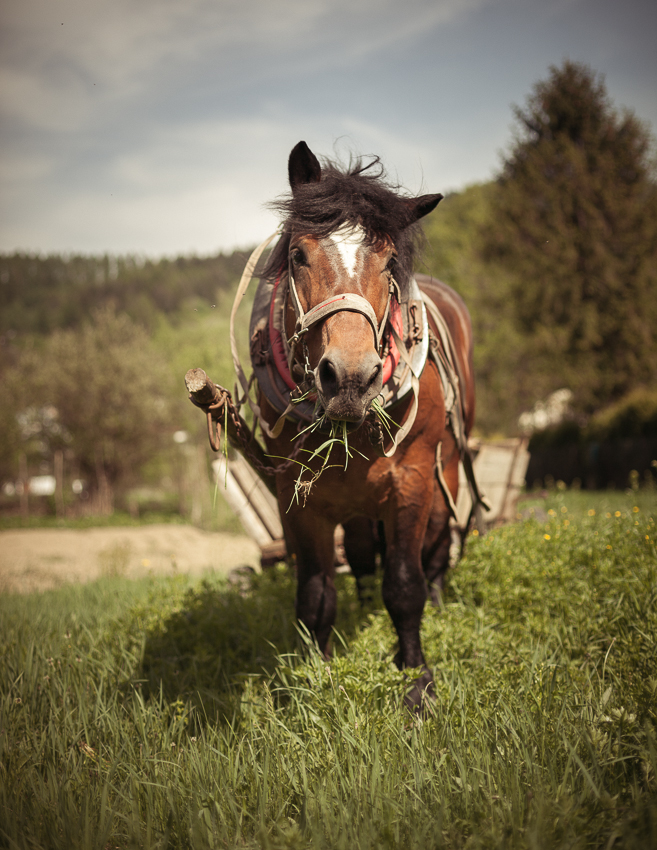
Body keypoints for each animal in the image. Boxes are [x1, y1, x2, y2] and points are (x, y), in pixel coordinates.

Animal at [243, 144, 474, 708]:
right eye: (298, 255)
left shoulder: (411, 482)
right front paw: (315, 675)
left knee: (439, 543)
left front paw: (416, 678)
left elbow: (406, 583)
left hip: (447, 471)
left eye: (389, 262)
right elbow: (316, 594)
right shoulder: (299, 497)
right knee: (366, 557)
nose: (349, 376)